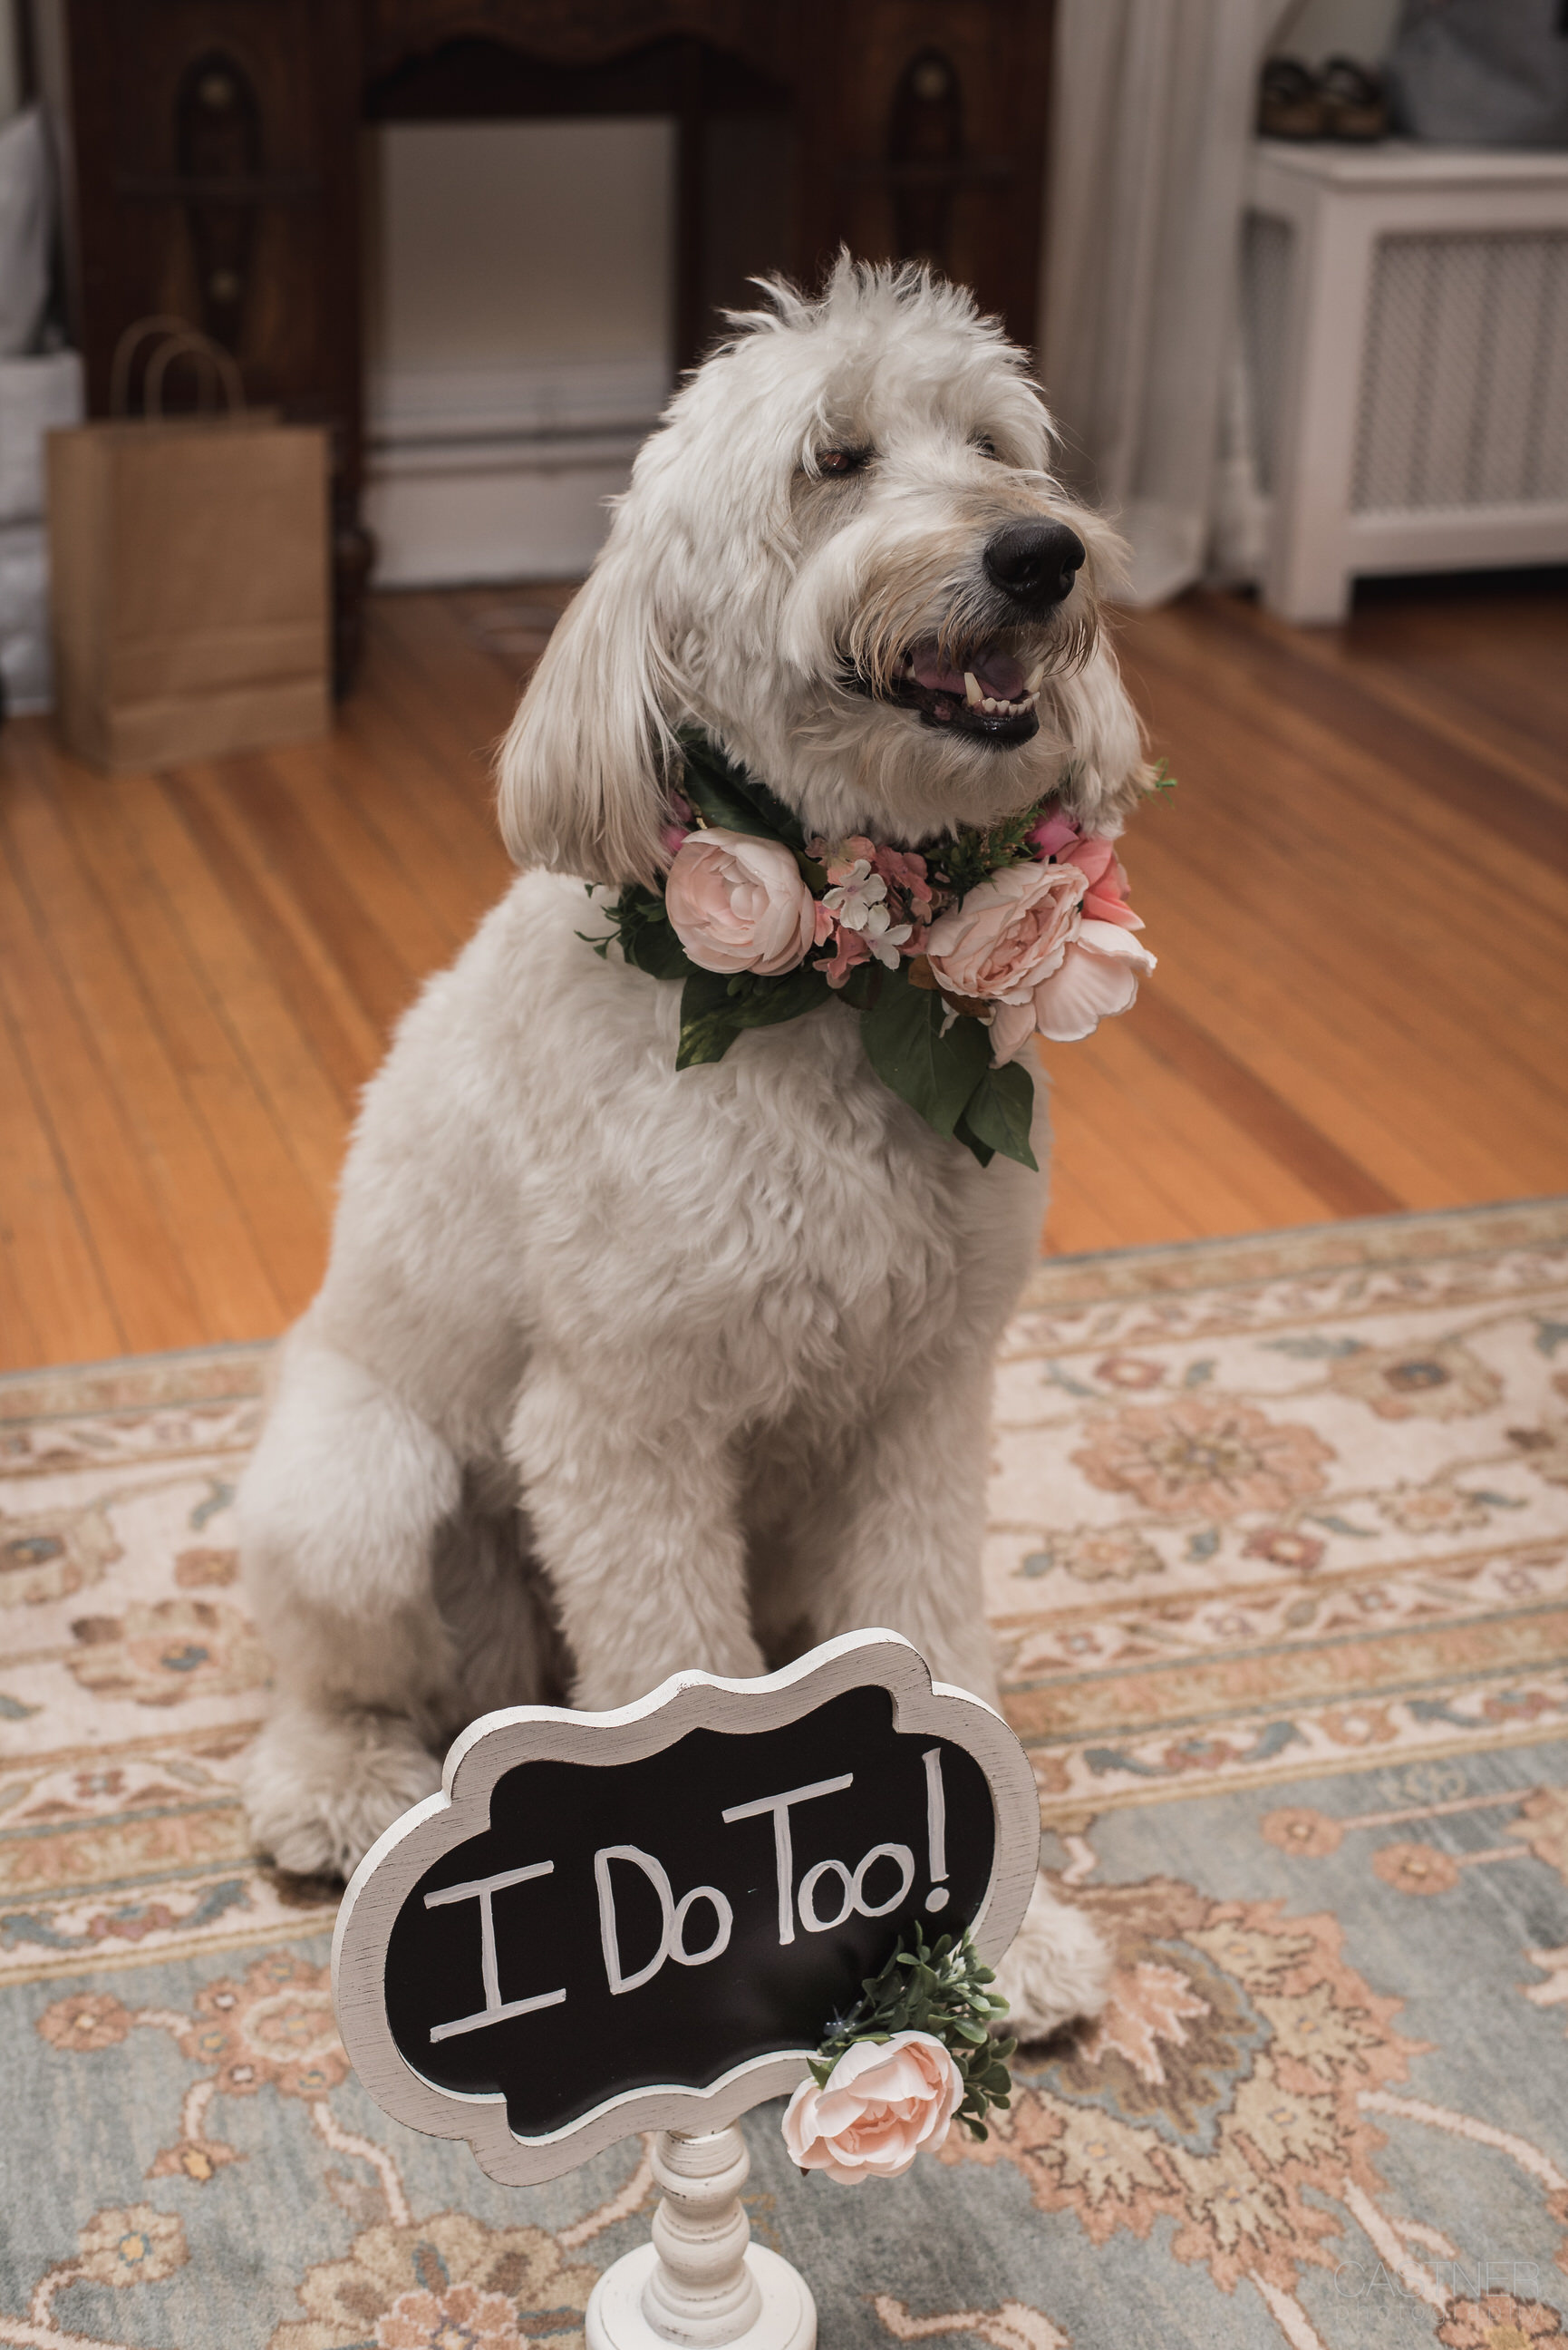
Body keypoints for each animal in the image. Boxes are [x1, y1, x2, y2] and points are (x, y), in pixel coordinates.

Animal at [239, 248, 1147, 2030]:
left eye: (996, 443)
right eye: (832, 459)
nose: (1041, 550)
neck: (832, 1002)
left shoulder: (924, 1404)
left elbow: (938, 1658)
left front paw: (996, 1939)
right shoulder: (623, 1431)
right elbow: (679, 1684)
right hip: (364, 1491)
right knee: (330, 1677)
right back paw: (339, 1788)